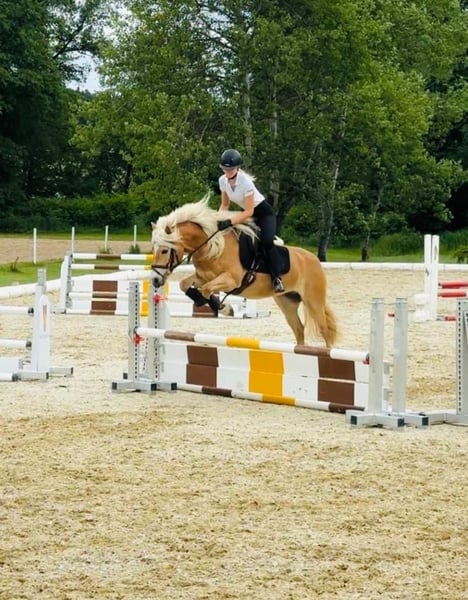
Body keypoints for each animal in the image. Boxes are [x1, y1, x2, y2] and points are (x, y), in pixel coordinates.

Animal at [150, 196, 337, 347]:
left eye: (165, 251)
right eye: (154, 249)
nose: (154, 280)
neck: (213, 247)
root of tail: (314, 259)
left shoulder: (231, 280)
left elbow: (206, 290)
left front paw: (224, 308)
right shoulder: (202, 277)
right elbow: (185, 285)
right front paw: (205, 302)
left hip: (313, 301)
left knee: (325, 330)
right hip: (287, 302)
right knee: (298, 329)